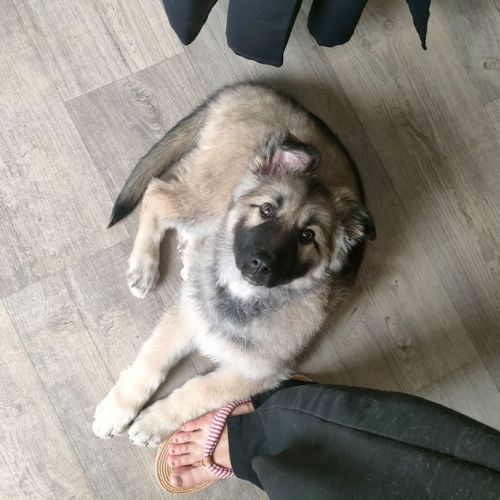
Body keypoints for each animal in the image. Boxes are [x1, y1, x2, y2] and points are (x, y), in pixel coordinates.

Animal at [92, 83, 375, 447]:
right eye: (266, 210)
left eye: (307, 236)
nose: (260, 265)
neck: (240, 297)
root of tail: (252, 89)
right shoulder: (183, 319)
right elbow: (149, 365)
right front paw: (116, 410)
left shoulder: (254, 374)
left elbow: (197, 390)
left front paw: (154, 422)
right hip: (211, 196)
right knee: (158, 194)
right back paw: (145, 266)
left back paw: (190, 258)